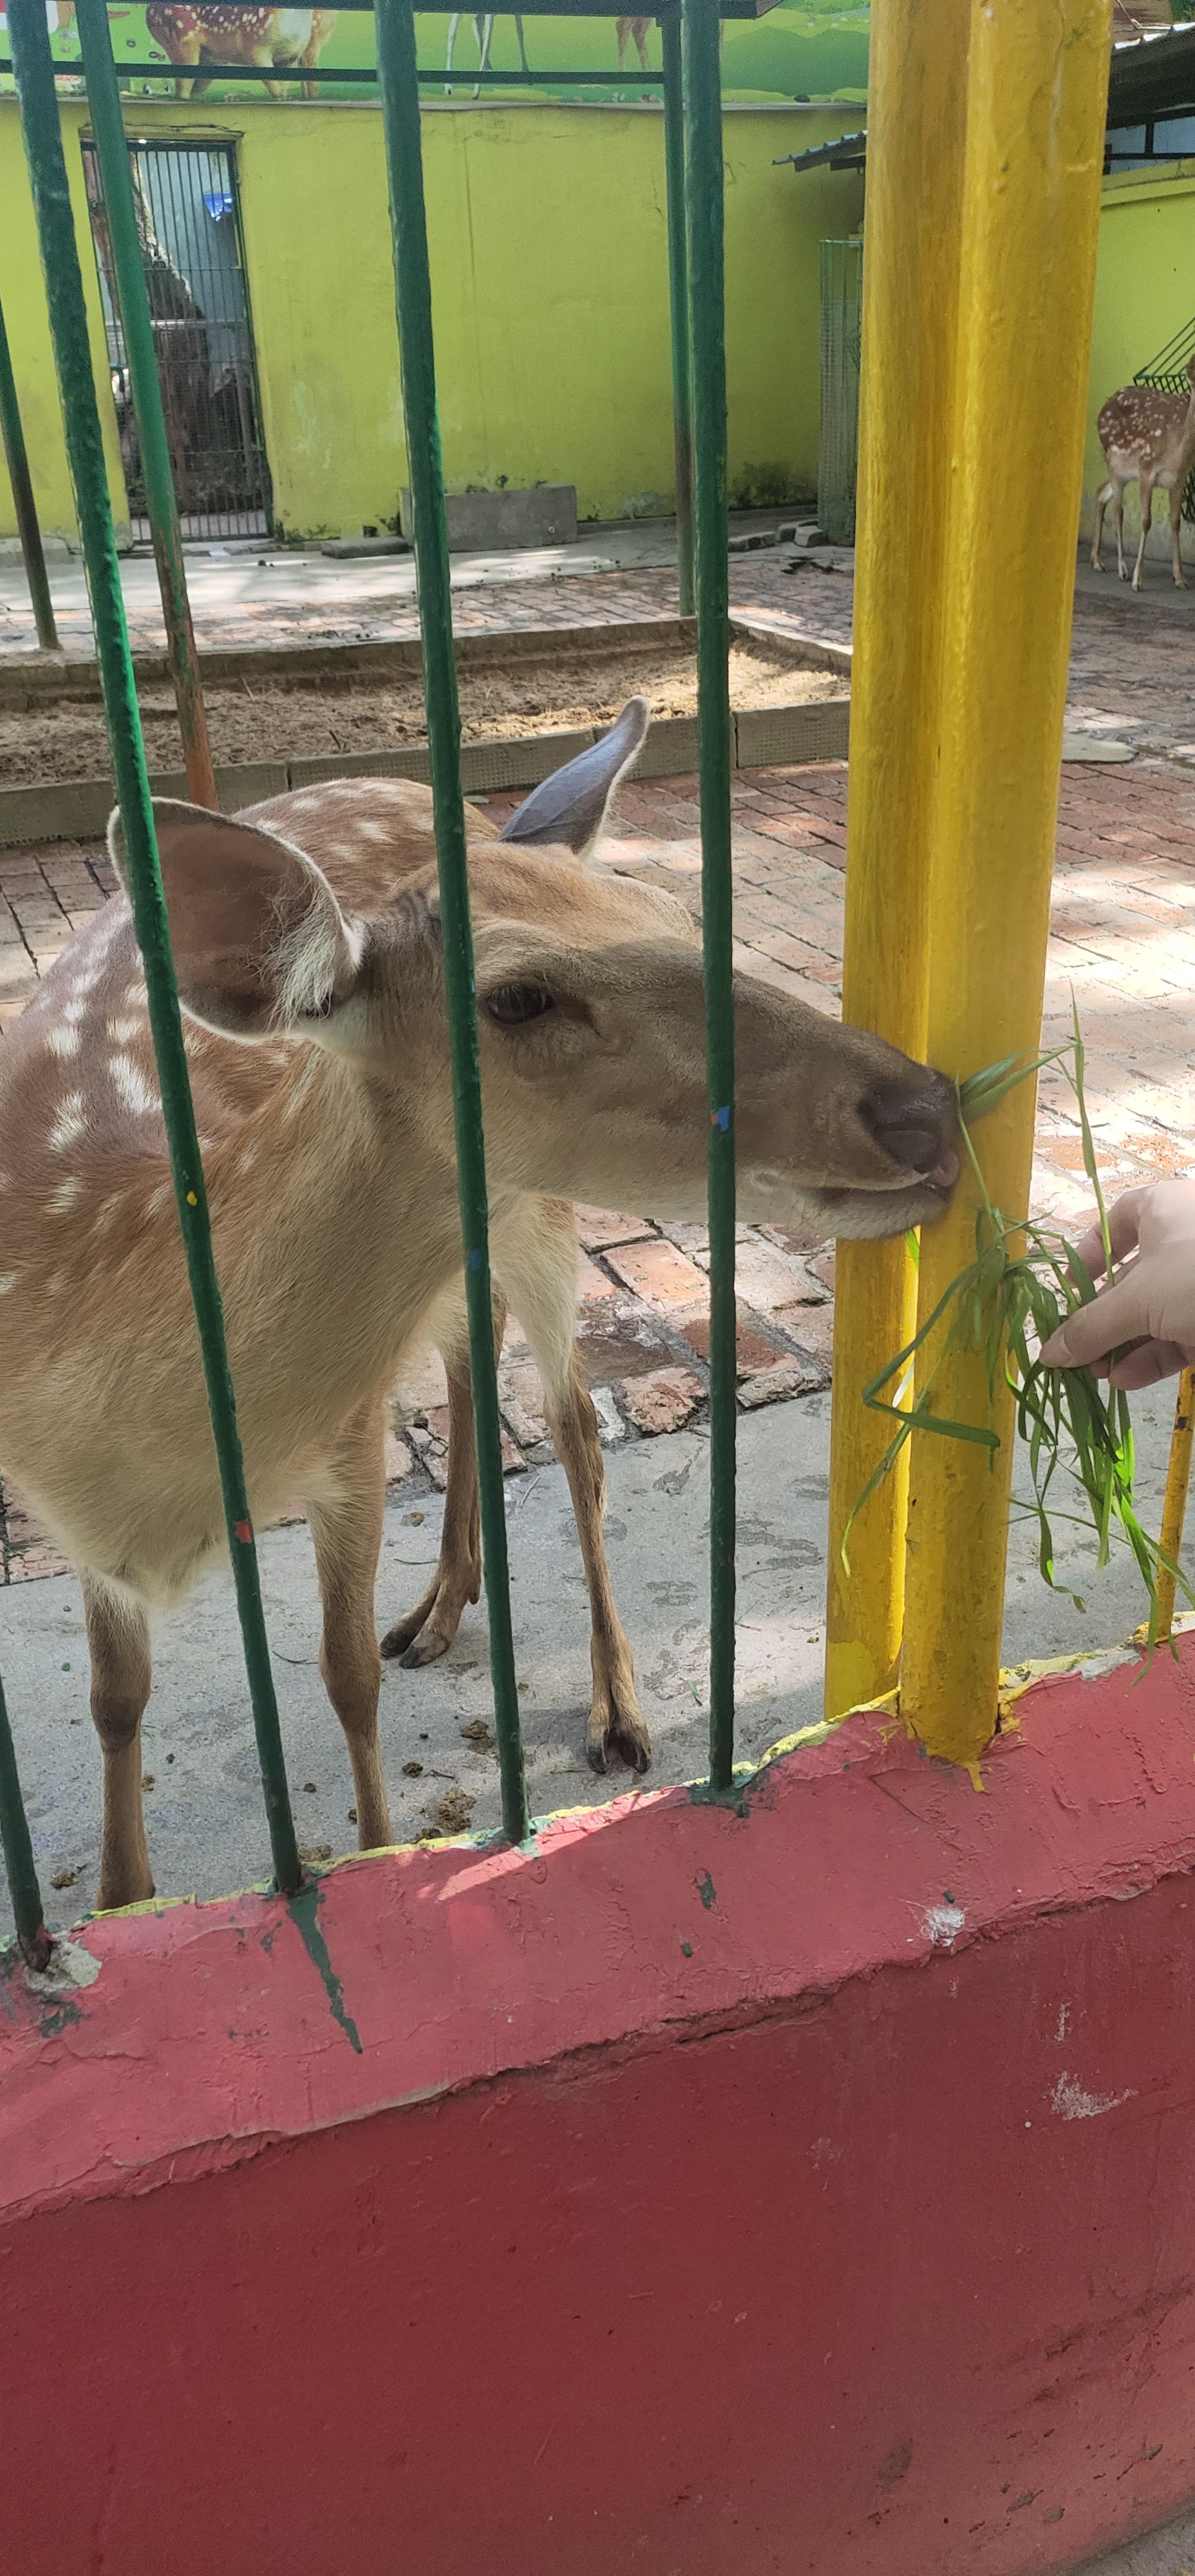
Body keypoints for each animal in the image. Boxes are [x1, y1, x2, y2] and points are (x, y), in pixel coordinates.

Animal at [0, 706, 958, 1917]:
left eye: (680, 916)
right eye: (518, 997)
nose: (929, 1108)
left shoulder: (347, 1437)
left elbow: (344, 1677)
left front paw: (372, 1856)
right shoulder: (70, 1526)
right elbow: (116, 1703)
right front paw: (123, 1902)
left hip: (541, 1212)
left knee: (574, 1426)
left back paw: (613, 1709)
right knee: (471, 1359)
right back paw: (441, 1606)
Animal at [1097, 355, 1195, 590]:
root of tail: (1103, 409)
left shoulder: (1179, 479)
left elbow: (1175, 522)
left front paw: (1180, 578)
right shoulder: (1146, 469)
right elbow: (1146, 521)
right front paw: (1137, 580)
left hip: (1122, 473)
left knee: (1102, 494)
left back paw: (1098, 561)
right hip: (1114, 465)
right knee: (1118, 513)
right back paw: (1122, 569)